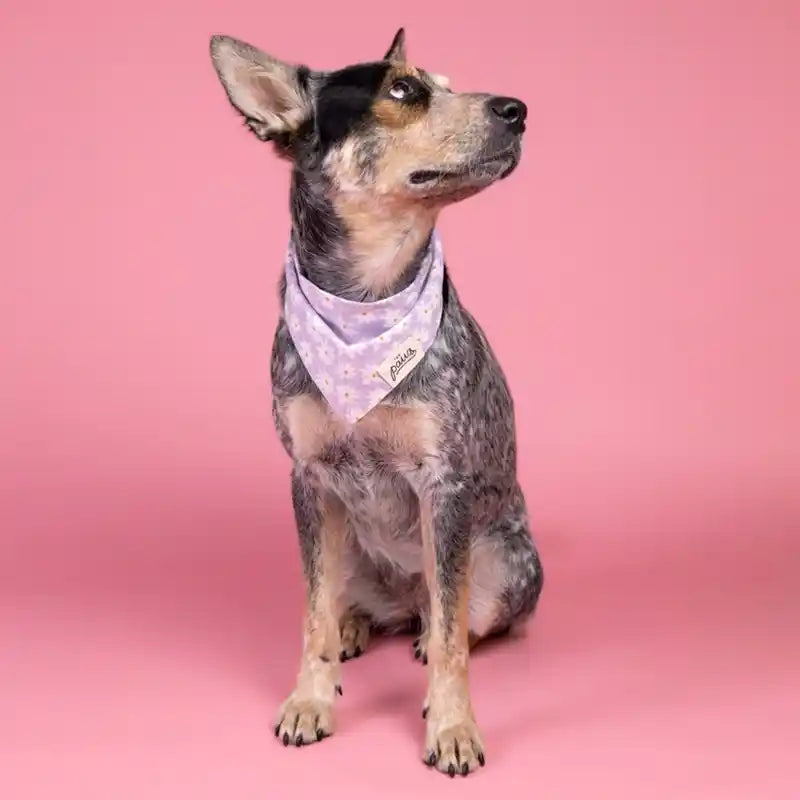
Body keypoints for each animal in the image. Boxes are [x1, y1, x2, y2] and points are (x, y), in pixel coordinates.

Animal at [208, 29, 544, 776]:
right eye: (404, 90)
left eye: (447, 83)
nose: (518, 108)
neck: (365, 299)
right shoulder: (307, 478)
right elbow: (311, 616)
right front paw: (310, 700)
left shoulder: (444, 485)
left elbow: (451, 640)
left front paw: (452, 727)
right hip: (346, 543)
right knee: (344, 601)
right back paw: (356, 629)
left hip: (509, 564)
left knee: (452, 616)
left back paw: (423, 633)